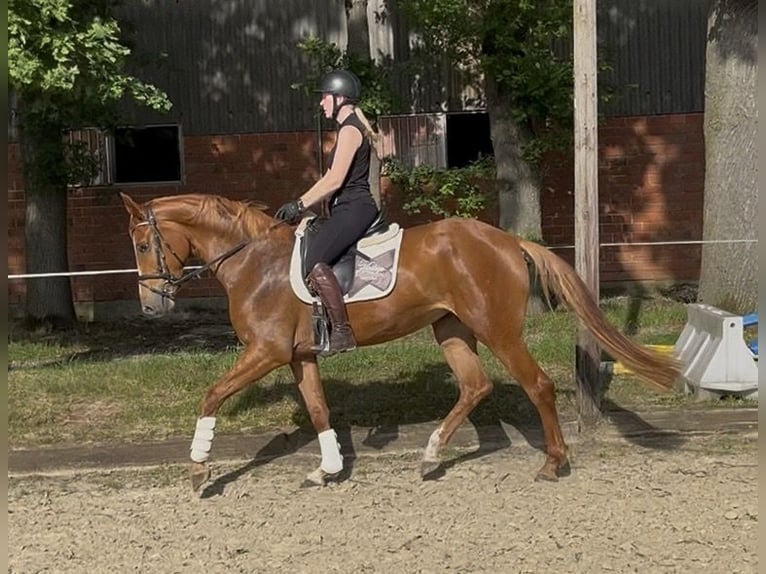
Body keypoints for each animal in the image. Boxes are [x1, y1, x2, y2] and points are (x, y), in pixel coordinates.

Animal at [120, 192, 679, 492]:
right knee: (475, 386)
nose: (151, 307)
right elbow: (319, 409)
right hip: (450, 328)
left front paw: (198, 469)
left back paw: (552, 463)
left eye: (145, 244)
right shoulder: (298, 357)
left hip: (497, 329)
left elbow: (212, 394)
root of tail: (506, 239)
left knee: (537, 385)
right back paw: (431, 454)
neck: (254, 262)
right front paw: (327, 469)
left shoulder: (265, 353)